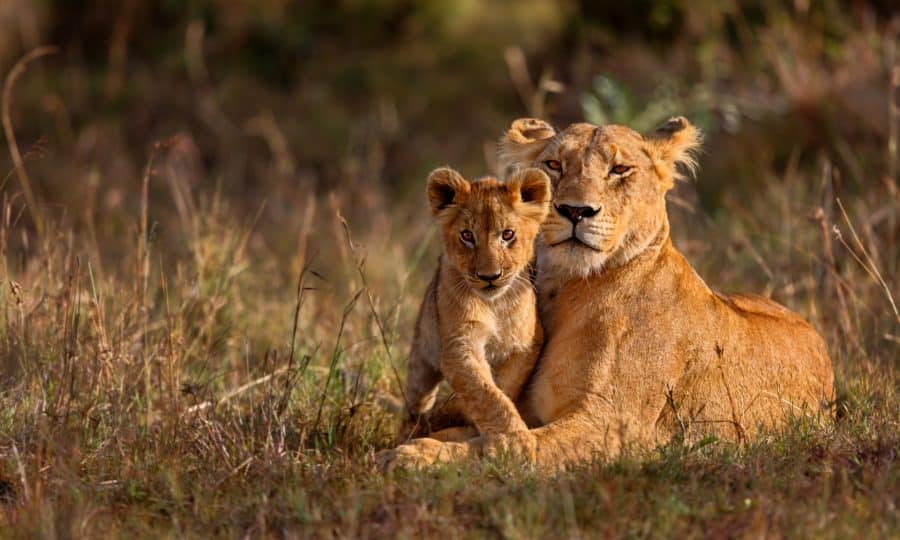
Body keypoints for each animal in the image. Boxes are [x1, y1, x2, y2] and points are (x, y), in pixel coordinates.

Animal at [398, 166, 551, 445]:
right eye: (467, 236)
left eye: (507, 234)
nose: (489, 276)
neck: (495, 305)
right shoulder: (459, 344)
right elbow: (485, 393)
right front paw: (514, 440)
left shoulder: (527, 343)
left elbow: (503, 385)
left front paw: (458, 413)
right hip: (421, 359)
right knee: (416, 402)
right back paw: (411, 430)